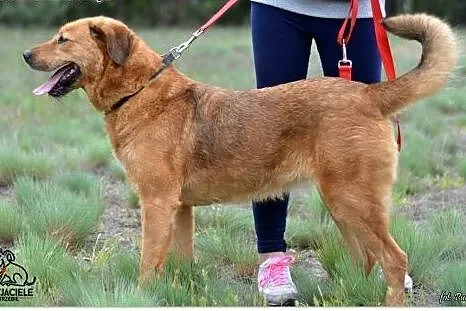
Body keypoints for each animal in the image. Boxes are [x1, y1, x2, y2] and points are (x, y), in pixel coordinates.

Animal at [23, 14, 456, 304]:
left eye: (63, 39)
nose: (25, 54)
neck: (139, 90)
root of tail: (368, 94)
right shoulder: (178, 209)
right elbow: (180, 263)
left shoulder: (156, 204)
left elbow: (147, 264)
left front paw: (142, 297)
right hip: (343, 205)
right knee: (368, 259)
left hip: (353, 201)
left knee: (395, 260)